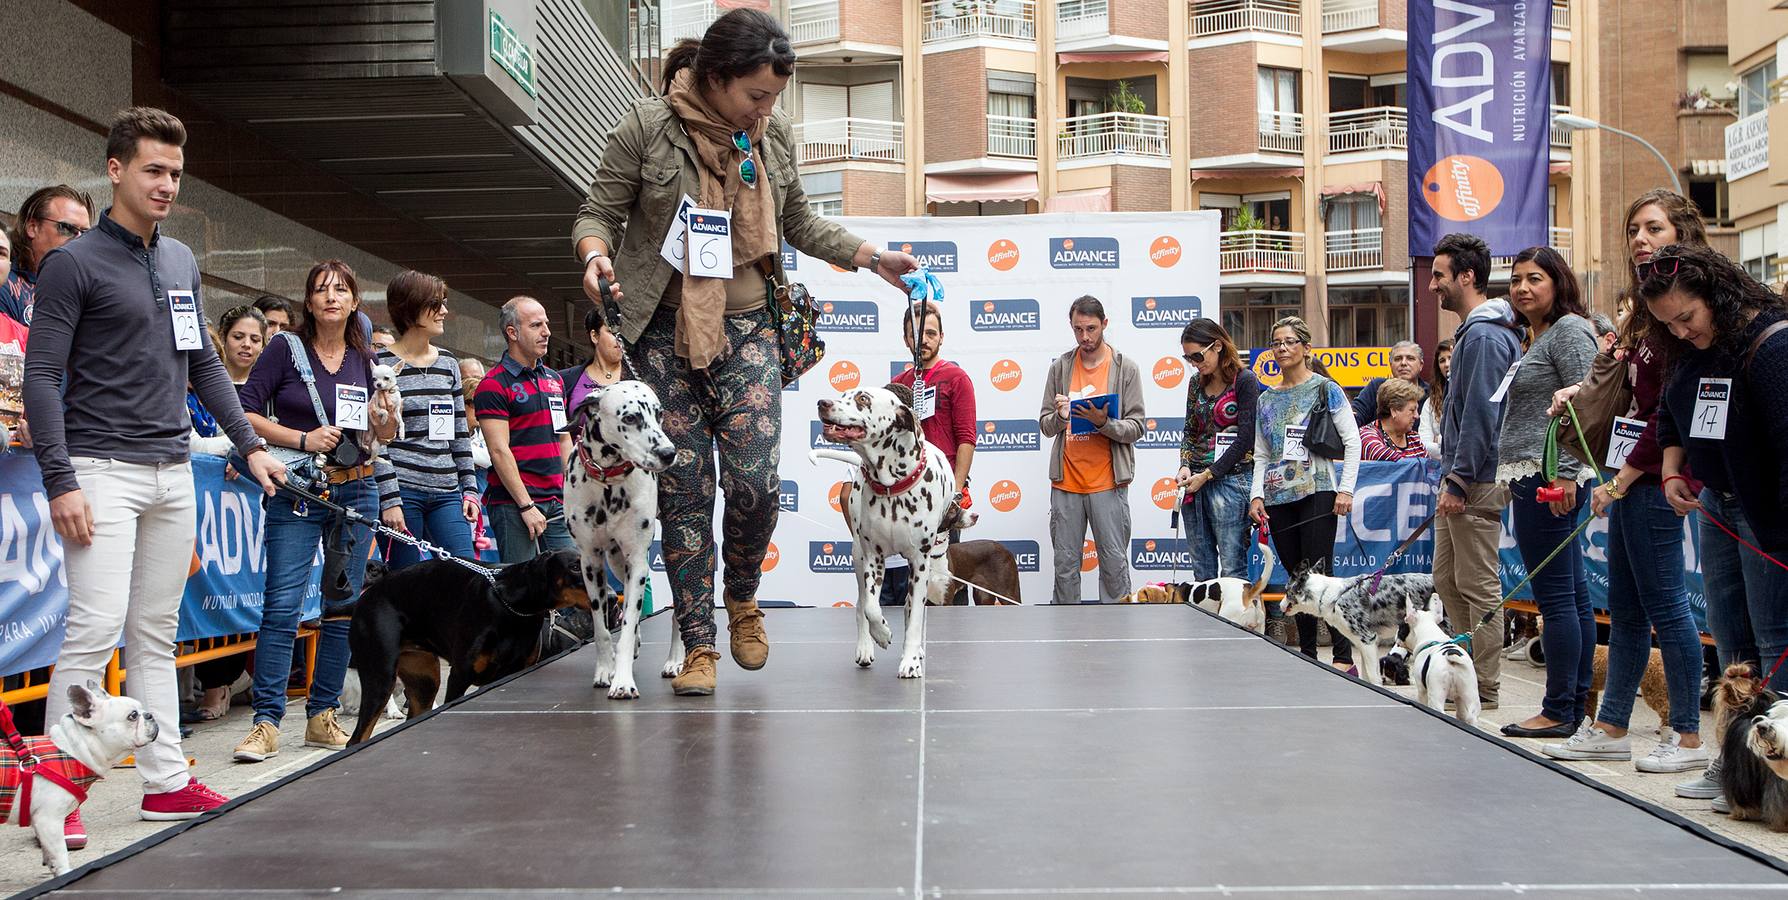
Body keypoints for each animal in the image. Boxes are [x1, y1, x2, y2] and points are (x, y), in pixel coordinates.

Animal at [348, 551, 593, 747]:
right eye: (574, 566)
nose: (604, 593)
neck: (509, 603)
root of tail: (363, 600)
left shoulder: (512, 672)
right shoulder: (460, 676)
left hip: (424, 683)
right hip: (380, 679)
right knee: (357, 738)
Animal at [568, 379, 679, 697]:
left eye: (659, 413)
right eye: (630, 418)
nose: (668, 452)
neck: (609, 485)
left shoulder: (639, 560)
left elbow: (628, 623)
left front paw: (622, 680)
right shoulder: (591, 563)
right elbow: (601, 627)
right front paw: (606, 668)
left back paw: (676, 660)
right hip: (617, 562)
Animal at [815, 388, 979, 676]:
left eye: (863, 399)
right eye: (844, 394)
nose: (823, 403)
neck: (892, 487)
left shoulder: (919, 564)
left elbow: (914, 618)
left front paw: (911, 659)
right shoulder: (873, 559)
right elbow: (871, 608)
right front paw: (881, 633)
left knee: (908, 607)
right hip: (857, 557)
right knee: (861, 605)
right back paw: (865, 647)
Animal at [1273, 565, 1437, 687]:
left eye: (1286, 591)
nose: (1280, 605)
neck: (1330, 595)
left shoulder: (1367, 639)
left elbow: (1373, 677)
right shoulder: (1364, 645)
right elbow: (1367, 676)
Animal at [1394, 594, 1480, 730]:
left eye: (1402, 626)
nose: (1396, 634)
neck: (1431, 635)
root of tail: (1451, 658)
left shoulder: (1422, 690)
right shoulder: (1459, 699)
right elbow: (1461, 714)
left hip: (1436, 694)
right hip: (1470, 694)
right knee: (1471, 717)